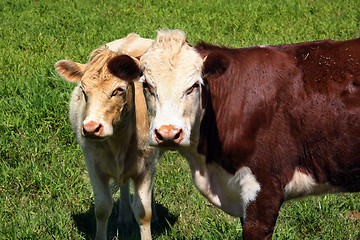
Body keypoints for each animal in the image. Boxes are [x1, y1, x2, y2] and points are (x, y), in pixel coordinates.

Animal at [54, 34, 160, 240]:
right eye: (83, 90)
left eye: (119, 90)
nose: (91, 128)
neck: (119, 139)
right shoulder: (93, 164)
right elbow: (102, 208)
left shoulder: (147, 165)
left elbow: (144, 212)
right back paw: (124, 217)